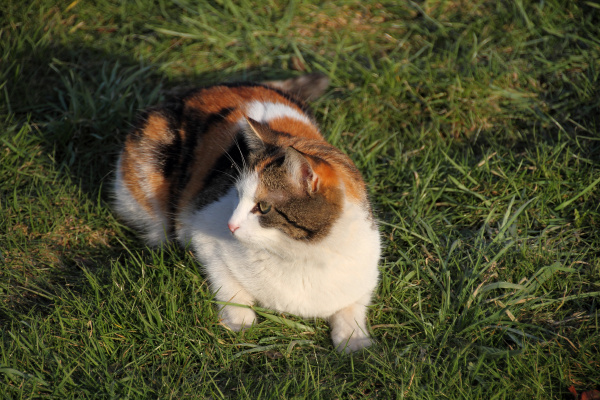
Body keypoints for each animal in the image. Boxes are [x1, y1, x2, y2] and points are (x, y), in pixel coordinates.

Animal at [113, 73, 380, 352]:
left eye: (263, 207)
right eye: (237, 195)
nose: (230, 226)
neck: (301, 255)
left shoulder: (365, 272)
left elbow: (352, 306)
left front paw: (354, 340)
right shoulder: (203, 233)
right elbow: (225, 281)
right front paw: (239, 320)